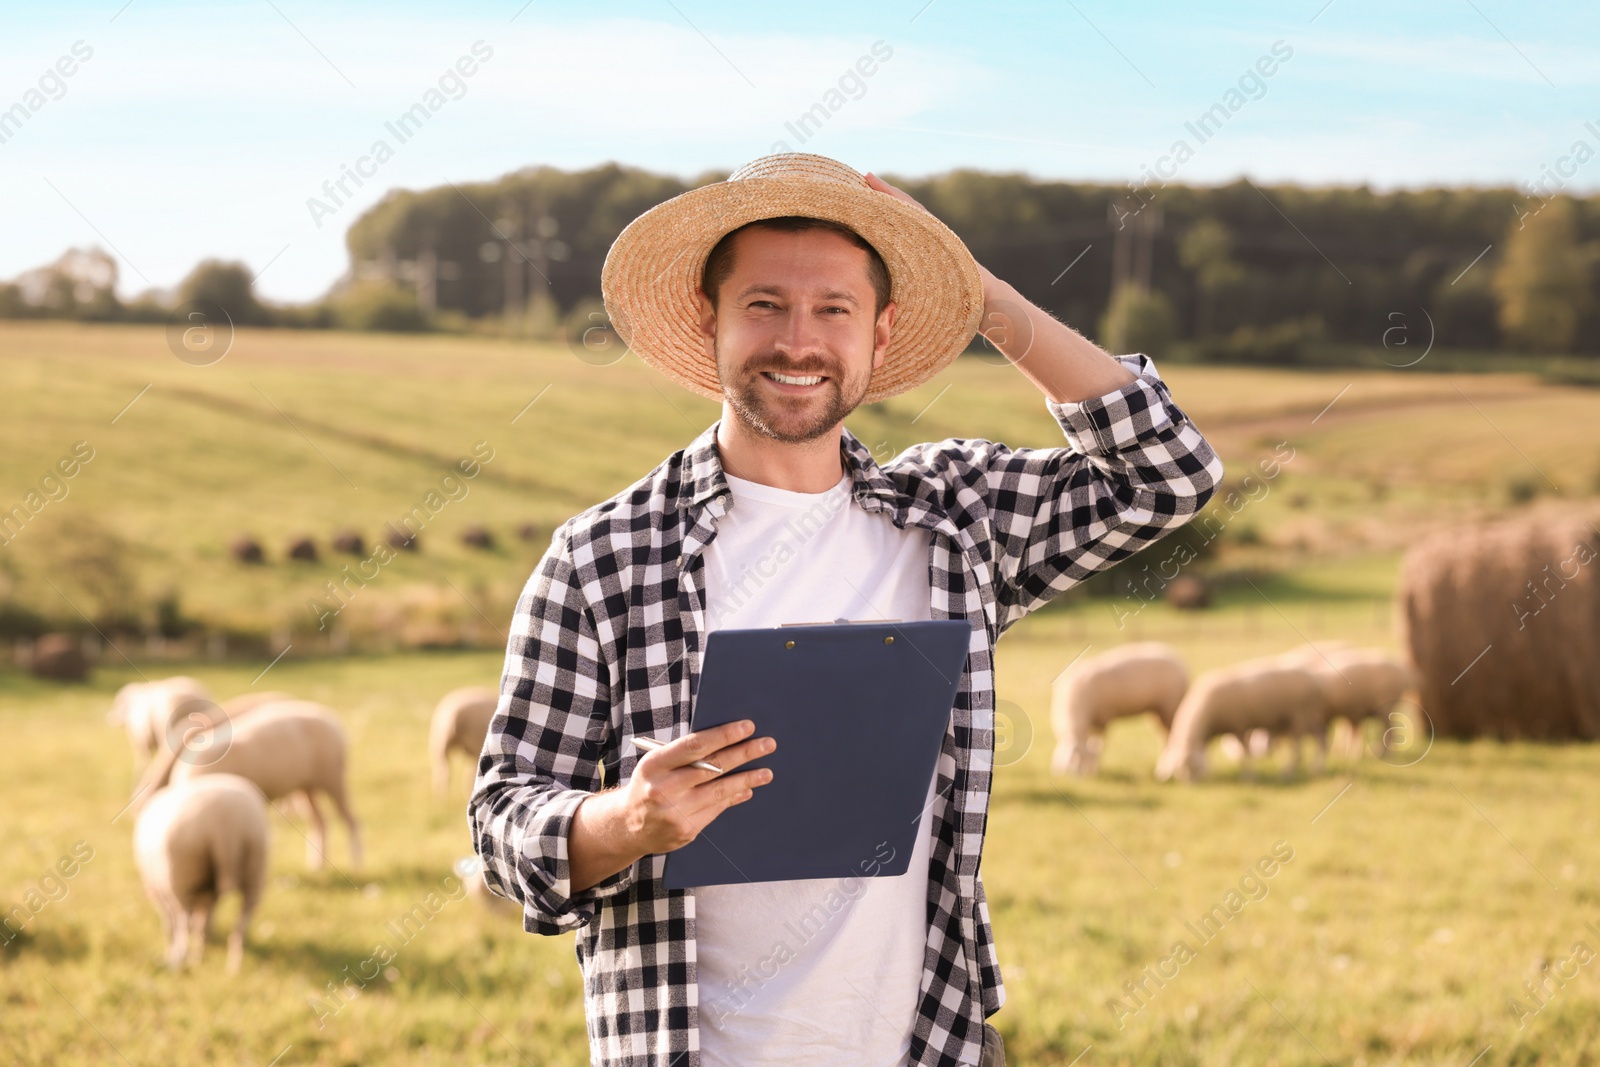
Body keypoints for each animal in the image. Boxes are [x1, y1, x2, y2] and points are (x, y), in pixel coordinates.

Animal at [131, 700, 363, 870]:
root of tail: (332, 720)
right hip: (306, 786)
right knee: (320, 822)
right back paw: (317, 865)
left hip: (333, 777)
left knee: (351, 819)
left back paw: (356, 863)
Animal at [132, 771, 267, 972]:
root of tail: (224, 824)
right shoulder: (208, 892)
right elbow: (204, 919)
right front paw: (201, 951)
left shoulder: (158, 890)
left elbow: (169, 922)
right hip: (255, 869)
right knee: (242, 922)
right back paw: (234, 965)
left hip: (181, 877)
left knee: (182, 921)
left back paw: (178, 961)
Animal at [1049, 643, 1190, 777]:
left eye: (1075, 762)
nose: (1076, 779)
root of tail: (1176, 657)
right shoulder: (1090, 723)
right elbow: (1091, 746)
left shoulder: (1103, 719)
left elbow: (1097, 746)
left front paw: (1094, 769)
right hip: (1158, 711)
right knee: (1163, 736)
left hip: (1170, 707)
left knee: (1171, 736)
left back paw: (1164, 770)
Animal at [1158, 652, 1331, 783]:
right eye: (1178, 770)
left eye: (1193, 768)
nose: (1192, 786)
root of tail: (1316, 682)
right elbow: (1208, 754)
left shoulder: (1239, 726)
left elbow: (1245, 755)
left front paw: (1249, 778)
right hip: (1309, 718)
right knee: (1321, 740)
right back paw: (1317, 769)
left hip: (1299, 718)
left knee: (1298, 752)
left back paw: (1288, 774)